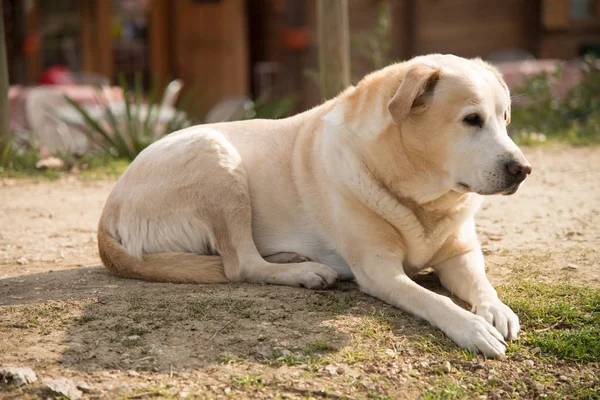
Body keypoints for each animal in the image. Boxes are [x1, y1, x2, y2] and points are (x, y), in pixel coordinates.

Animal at [99, 53, 536, 356]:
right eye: (471, 120)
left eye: (505, 119)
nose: (523, 169)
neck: (419, 196)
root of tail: (108, 211)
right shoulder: (379, 270)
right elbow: (433, 299)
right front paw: (471, 327)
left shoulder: (460, 254)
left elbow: (481, 282)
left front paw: (495, 310)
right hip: (216, 158)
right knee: (240, 265)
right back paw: (305, 272)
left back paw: (293, 259)